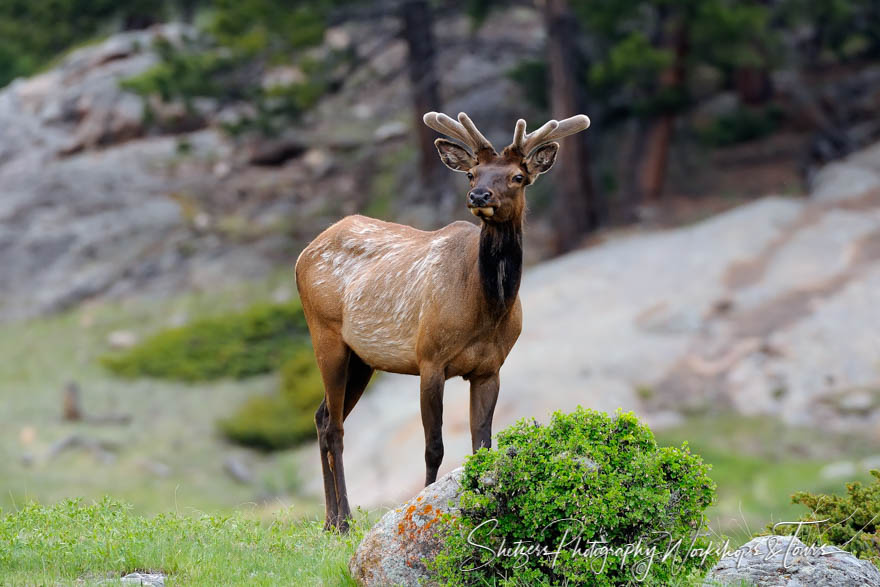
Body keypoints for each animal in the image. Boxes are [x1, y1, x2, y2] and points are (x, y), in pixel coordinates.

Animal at [296, 108, 592, 532]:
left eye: (517, 176)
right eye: (472, 173)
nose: (479, 196)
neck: (485, 312)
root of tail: (304, 253)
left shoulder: (490, 368)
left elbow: (482, 445)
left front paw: (483, 507)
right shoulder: (430, 358)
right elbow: (433, 447)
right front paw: (422, 507)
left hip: (362, 359)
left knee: (321, 417)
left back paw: (328, 520)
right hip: (325, 332)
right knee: (334, 426)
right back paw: (344, 521)